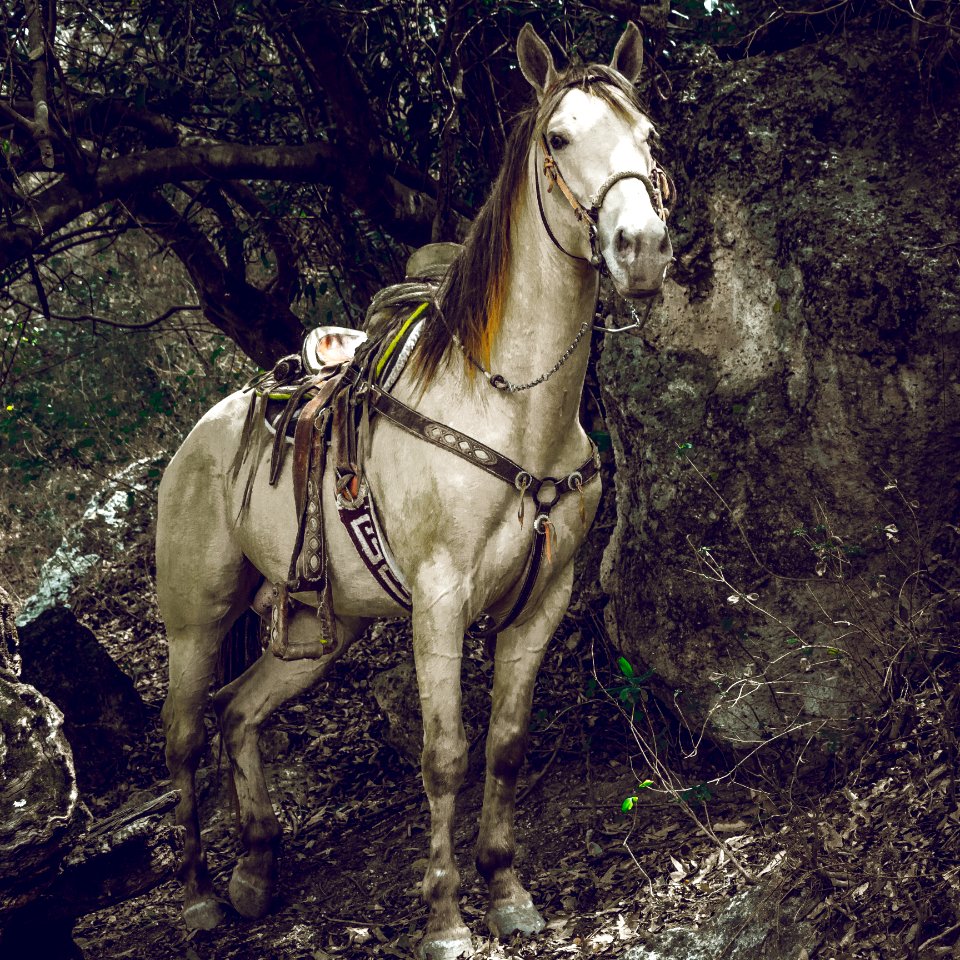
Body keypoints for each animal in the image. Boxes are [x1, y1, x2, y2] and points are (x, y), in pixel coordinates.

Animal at [158, 24, 672, 960]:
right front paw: (445, 921)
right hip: (196, 623)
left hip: (318, 631)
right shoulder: (439, 602)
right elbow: (444, 757)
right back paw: (201, 896)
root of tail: (199, 436)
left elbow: (504, 746)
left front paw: (507, 891)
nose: (642, 248)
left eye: (649, 137)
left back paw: (254, 869)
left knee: (239, 714)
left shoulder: (543, 600)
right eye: (557, 139)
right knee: (184, 734)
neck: (509, 408)